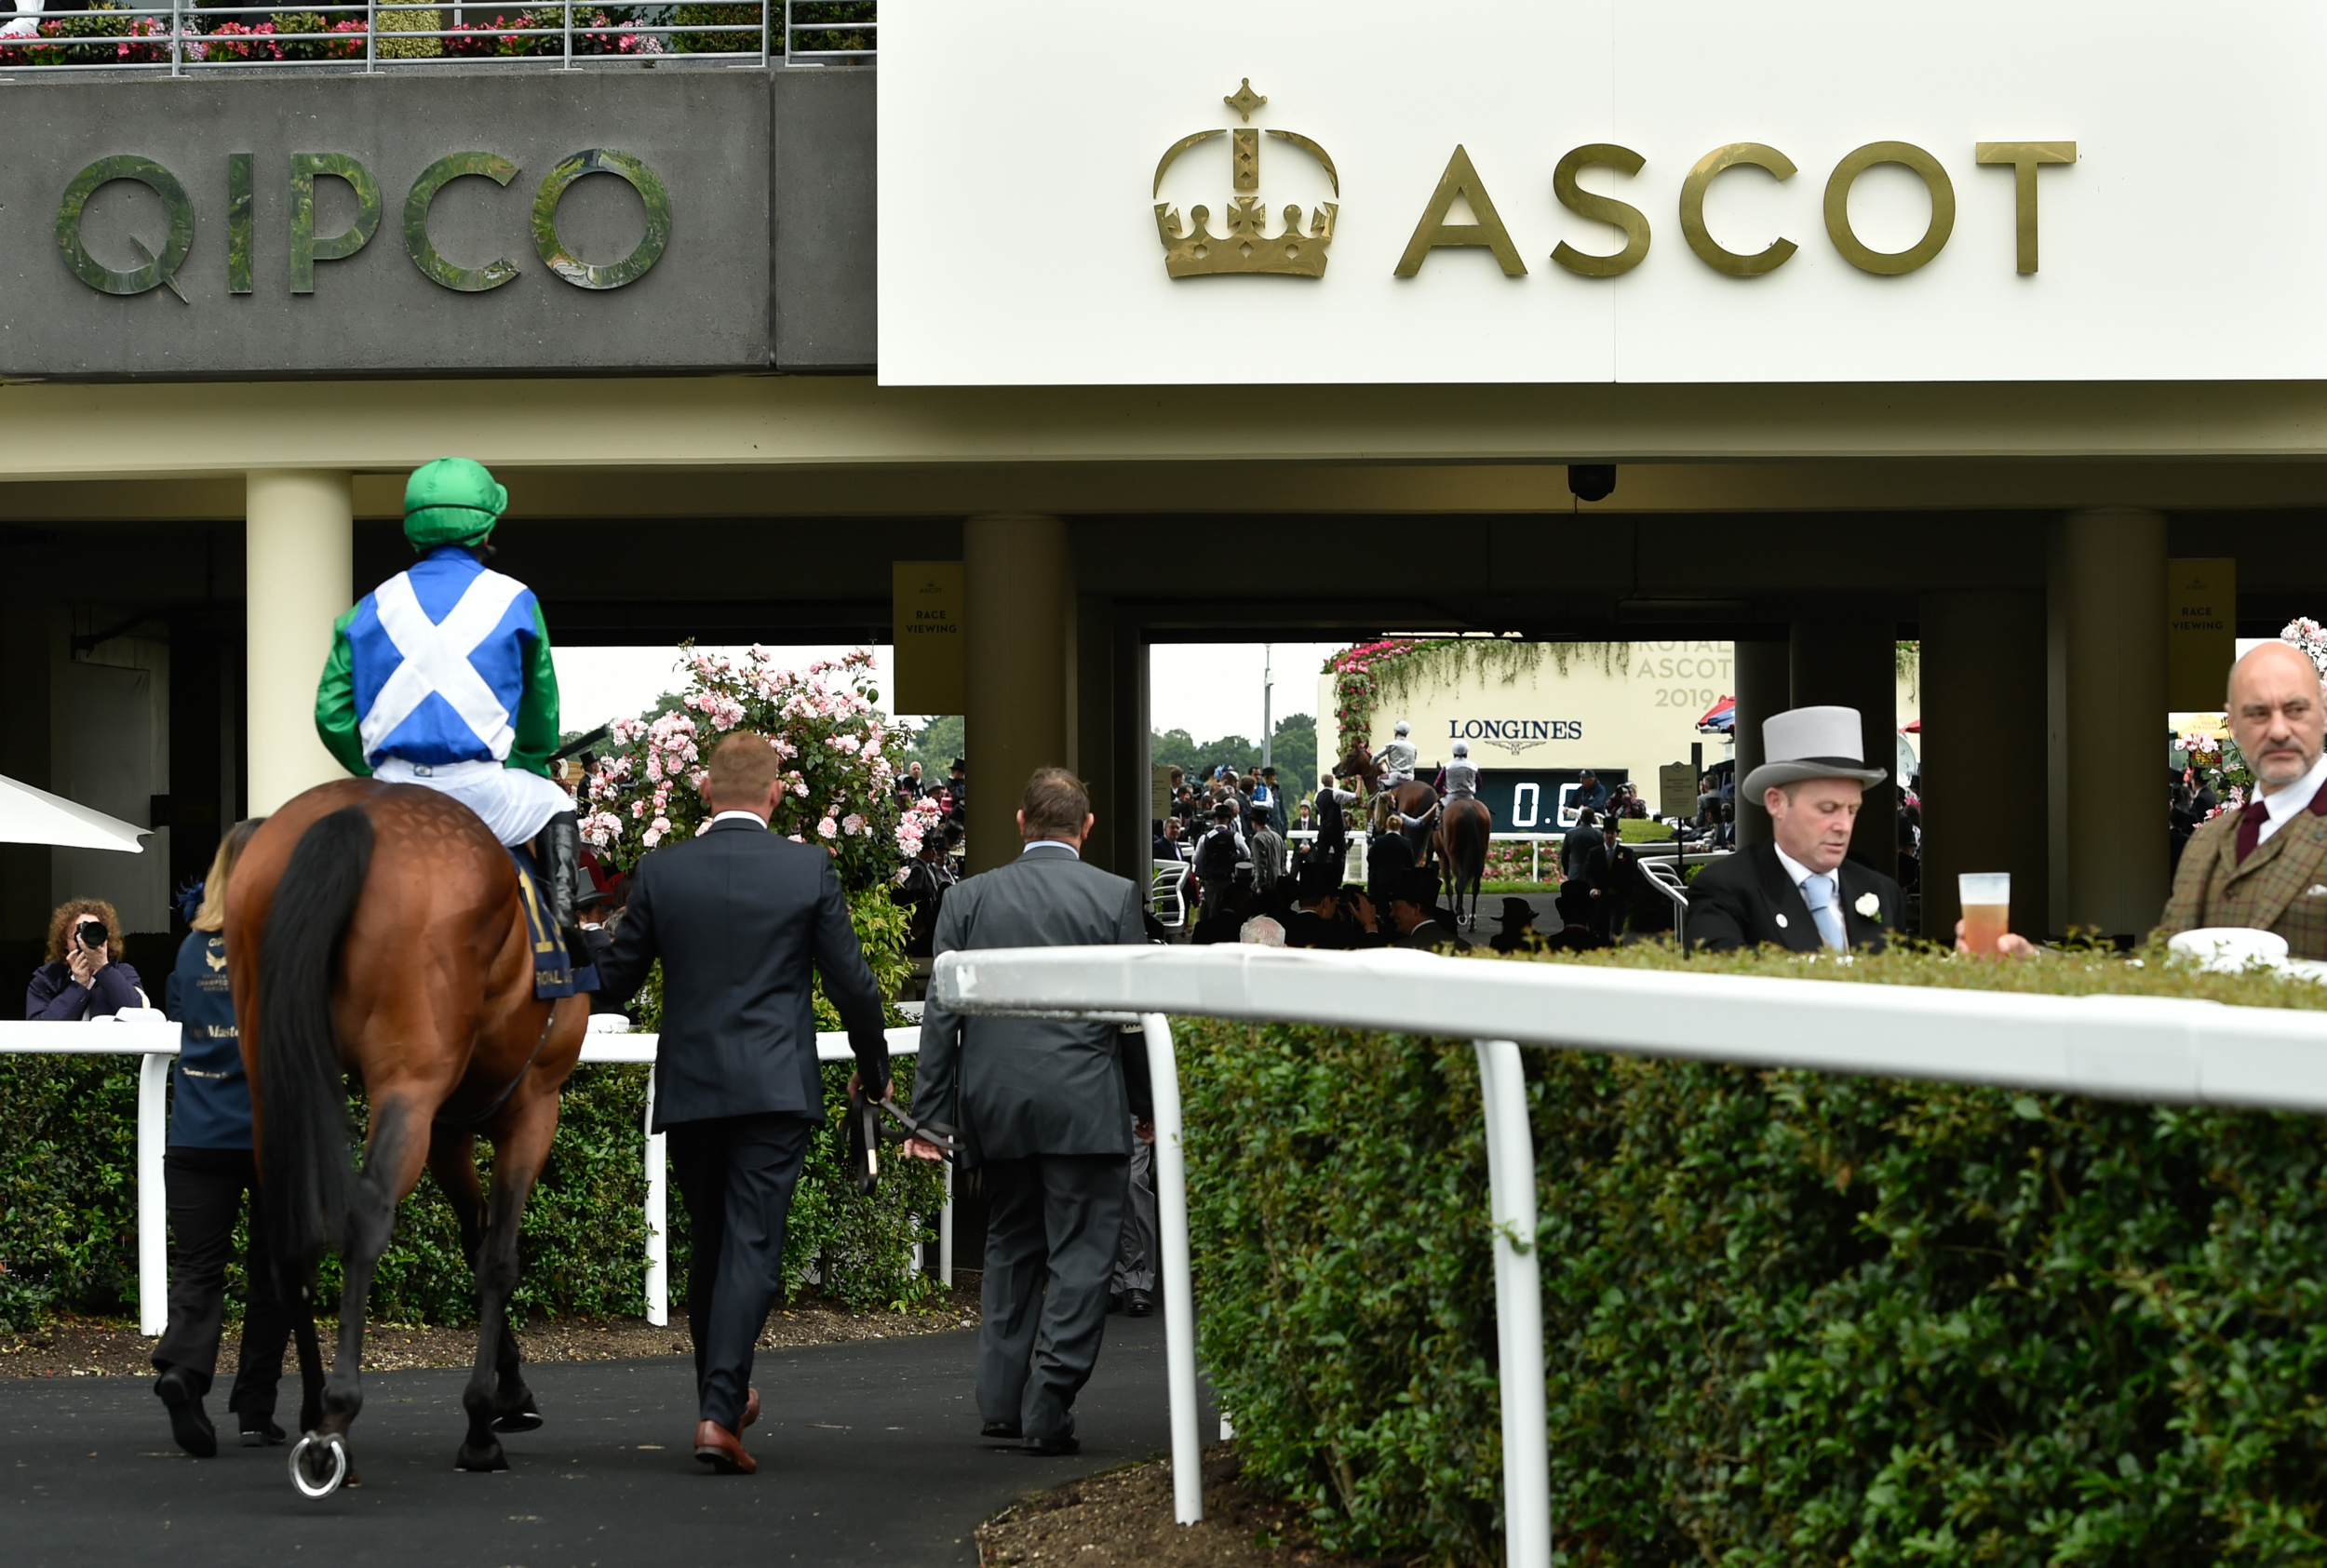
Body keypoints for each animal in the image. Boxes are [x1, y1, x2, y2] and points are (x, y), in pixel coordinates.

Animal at [228, 777, 591, 1489]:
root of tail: (353, 814)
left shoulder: (451, 1127)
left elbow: (475, 1241)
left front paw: (510, 1394)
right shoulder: (532, 1107)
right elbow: (499, 1258)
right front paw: (481, 1425)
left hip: (272, 1071)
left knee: (290, 1223)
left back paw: (313, 1411)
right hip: (409, 1080)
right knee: (367, 1212)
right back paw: (333, 1424)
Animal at [1433, 796, 1489, 931]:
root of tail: (1469, 808)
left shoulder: (1443, 857)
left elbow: (1449, 886)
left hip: (1454, 856)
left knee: (1460, 882)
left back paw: (1460, 914)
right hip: (1480, 858)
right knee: (1475, 886)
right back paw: (1472, 922)